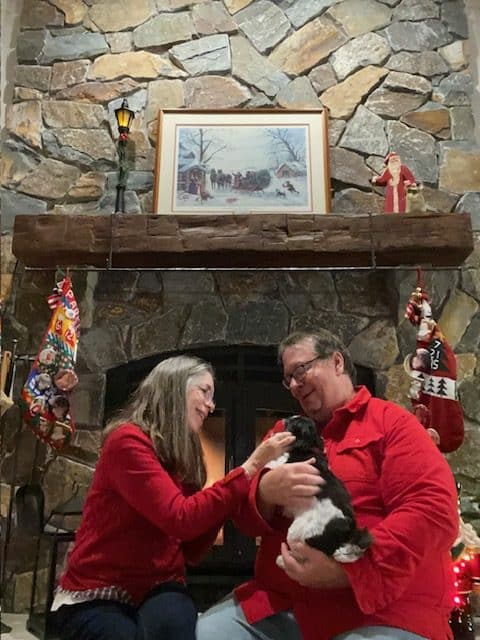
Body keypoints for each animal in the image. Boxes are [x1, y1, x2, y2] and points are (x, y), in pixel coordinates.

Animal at [272, 416, 374, 564]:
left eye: (293, 422)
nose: (284, 418)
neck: (307, 448)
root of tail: (347, 529)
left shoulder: (284, 465)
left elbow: (274, 462)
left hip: (298, 533)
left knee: (303, 553)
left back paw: (282, 560)